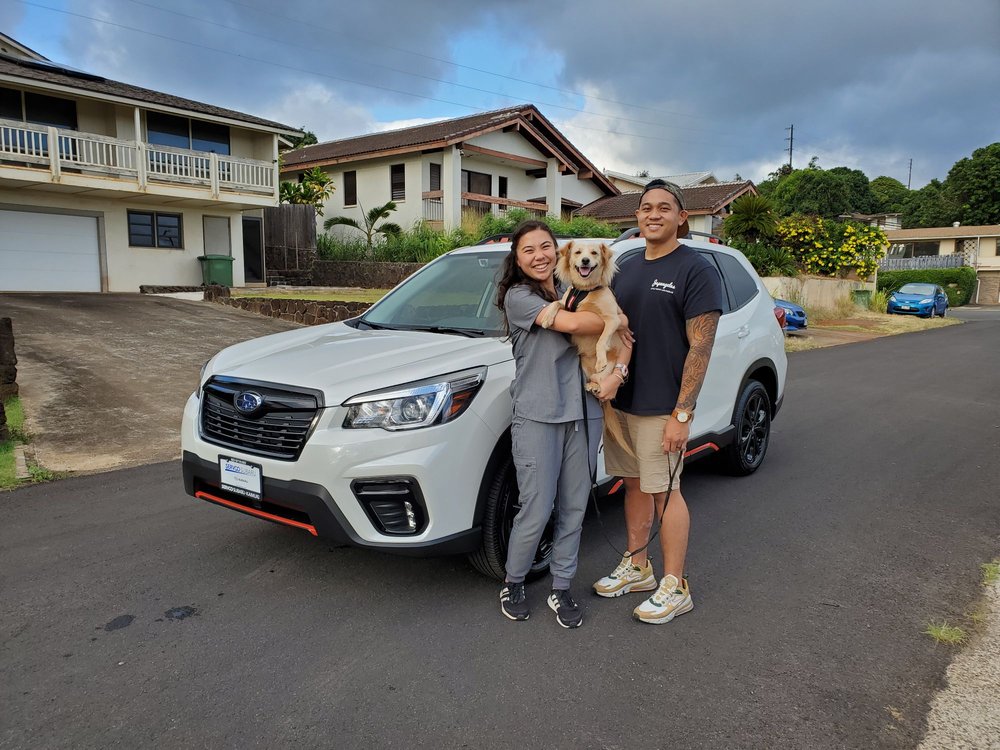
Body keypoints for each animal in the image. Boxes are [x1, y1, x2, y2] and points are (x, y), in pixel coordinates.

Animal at [539, 241, 633, 456]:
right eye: (577, 252)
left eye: (594, 253)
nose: (585, 261)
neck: (585, 290)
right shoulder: (566, 305)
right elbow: (556, 303)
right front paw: (547, 317)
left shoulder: (613, 319)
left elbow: (602, 340)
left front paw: (600, 358)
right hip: (582, 365)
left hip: (610, 370)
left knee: (603, 382)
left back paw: (596, 384)